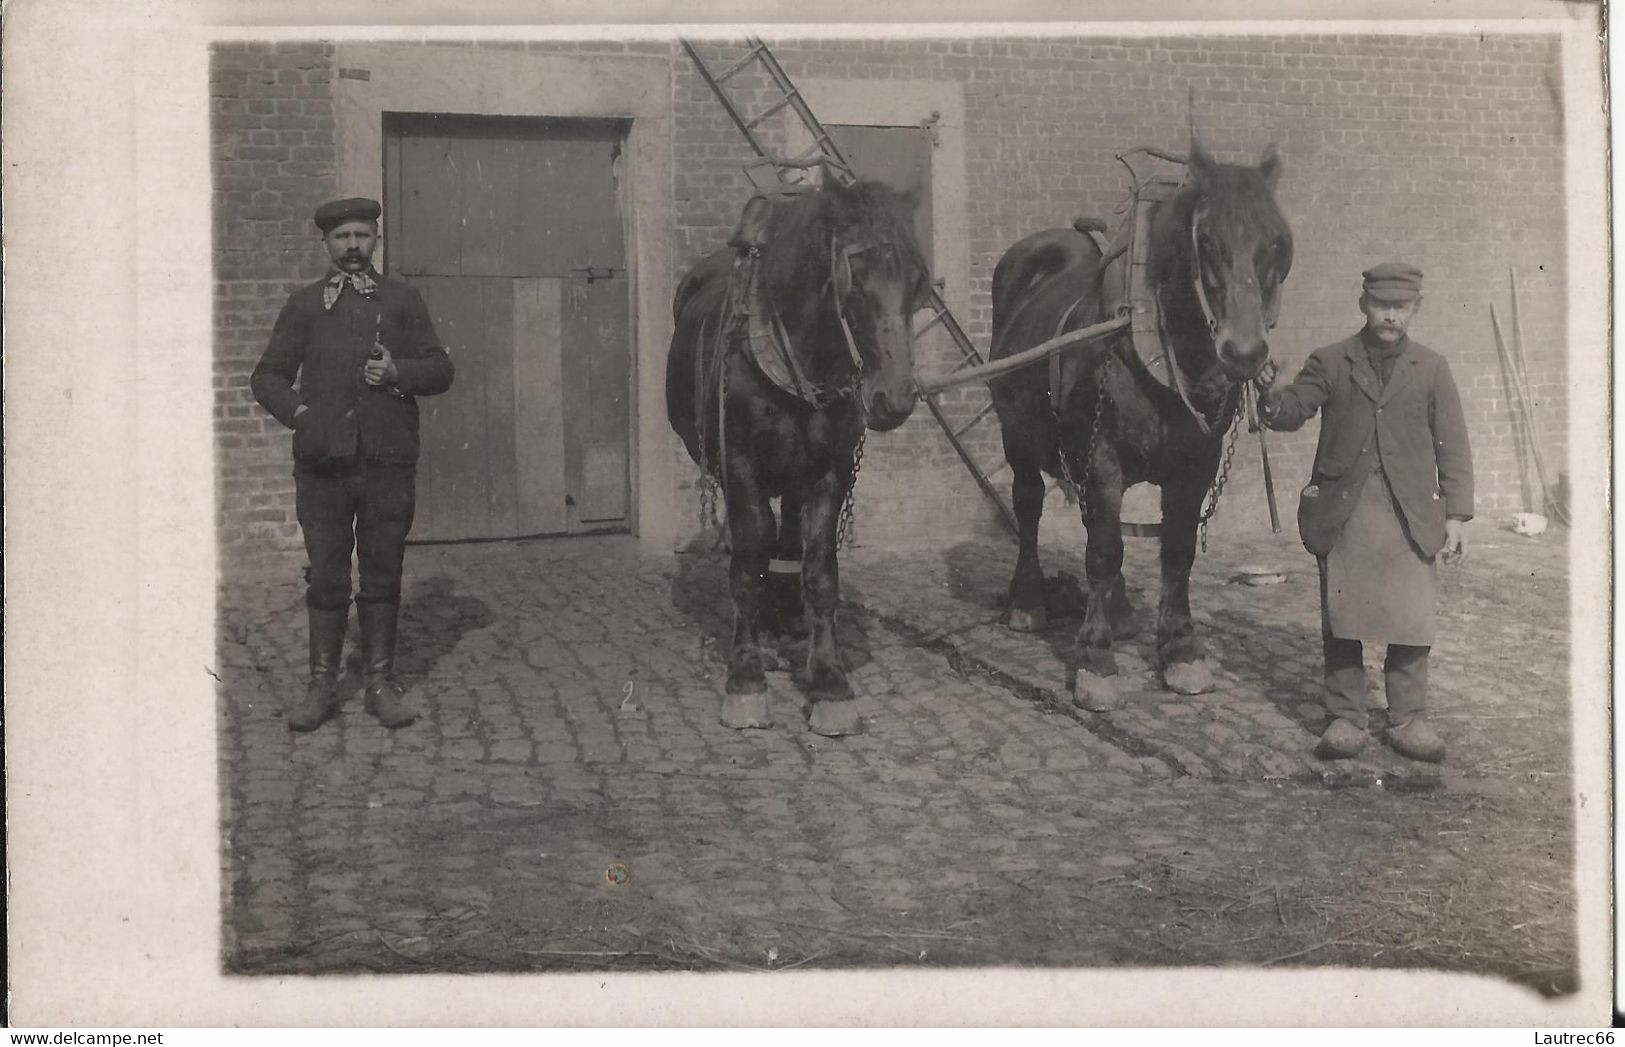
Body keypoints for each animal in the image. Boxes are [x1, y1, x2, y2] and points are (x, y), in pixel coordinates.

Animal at [666, 165, 936, 734]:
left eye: (917, 280)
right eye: (855, 269)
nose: (894, 398)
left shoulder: (831, 471)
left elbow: (820, 569)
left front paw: (829, 681)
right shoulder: (741, 466)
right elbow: (749, 559)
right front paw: (746, 677)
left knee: (787, 540)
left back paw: (788, 619)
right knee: (764, 540)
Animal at [988, 141, 1293, 712]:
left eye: (1278, 242)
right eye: (1205, 239)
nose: (1244, 352)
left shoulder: (1195, 468)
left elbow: (1176, 551)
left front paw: (1181, 650)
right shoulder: (1100, 460)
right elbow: (1104, 552)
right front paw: (1095, 661)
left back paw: (1120, 611)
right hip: (1016, 437)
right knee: (1030, 506)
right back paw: (1029, 600)